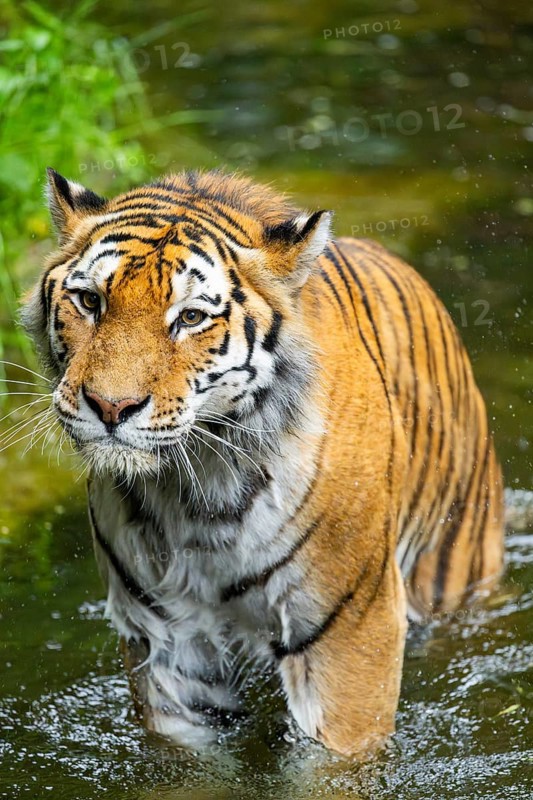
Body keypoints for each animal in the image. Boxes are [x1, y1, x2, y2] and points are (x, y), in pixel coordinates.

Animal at [21, 167, 504, 757]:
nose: (111, 406)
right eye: (90, 301)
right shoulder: (169, 644)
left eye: (190, 317)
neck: (197, 485)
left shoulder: (348, 634)